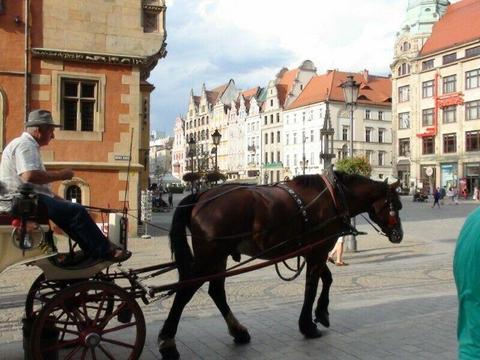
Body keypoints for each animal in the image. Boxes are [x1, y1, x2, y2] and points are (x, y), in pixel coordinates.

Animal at [158, 171, 402, 358]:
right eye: (395, 206)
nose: (399, 235)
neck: (334, 198)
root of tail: (201, 194)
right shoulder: (319, 251)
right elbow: (311, 287)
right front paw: (308, 326)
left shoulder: (314, 251)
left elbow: (327, 279)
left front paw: (322, 313)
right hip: (209, 257)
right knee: (186, 291)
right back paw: (167, 342)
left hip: (219, 258)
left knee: (216, 291)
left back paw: (239, 332)